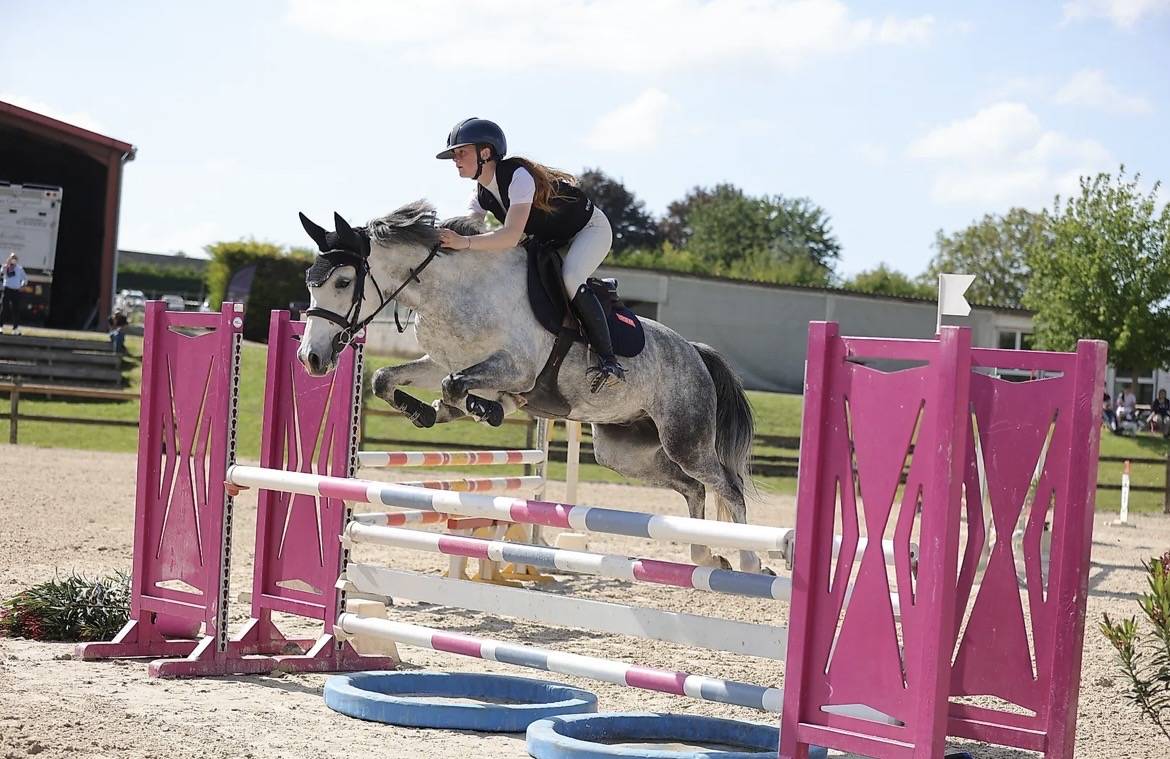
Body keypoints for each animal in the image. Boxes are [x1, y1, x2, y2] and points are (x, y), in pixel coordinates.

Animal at [296, 200, 766, 573]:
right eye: (309, 282)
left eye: (343, 282)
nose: (310, 358)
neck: (451, 292)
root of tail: (694, 351)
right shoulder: (441, 362)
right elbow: (388, 379)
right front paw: (428, 412)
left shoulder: (515, 368)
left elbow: (457, 386)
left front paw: (482, 409)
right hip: (622, 451)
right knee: (691, 487)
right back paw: (706, 555)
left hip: (685, 439)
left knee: (726, 484)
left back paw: (748, 560)